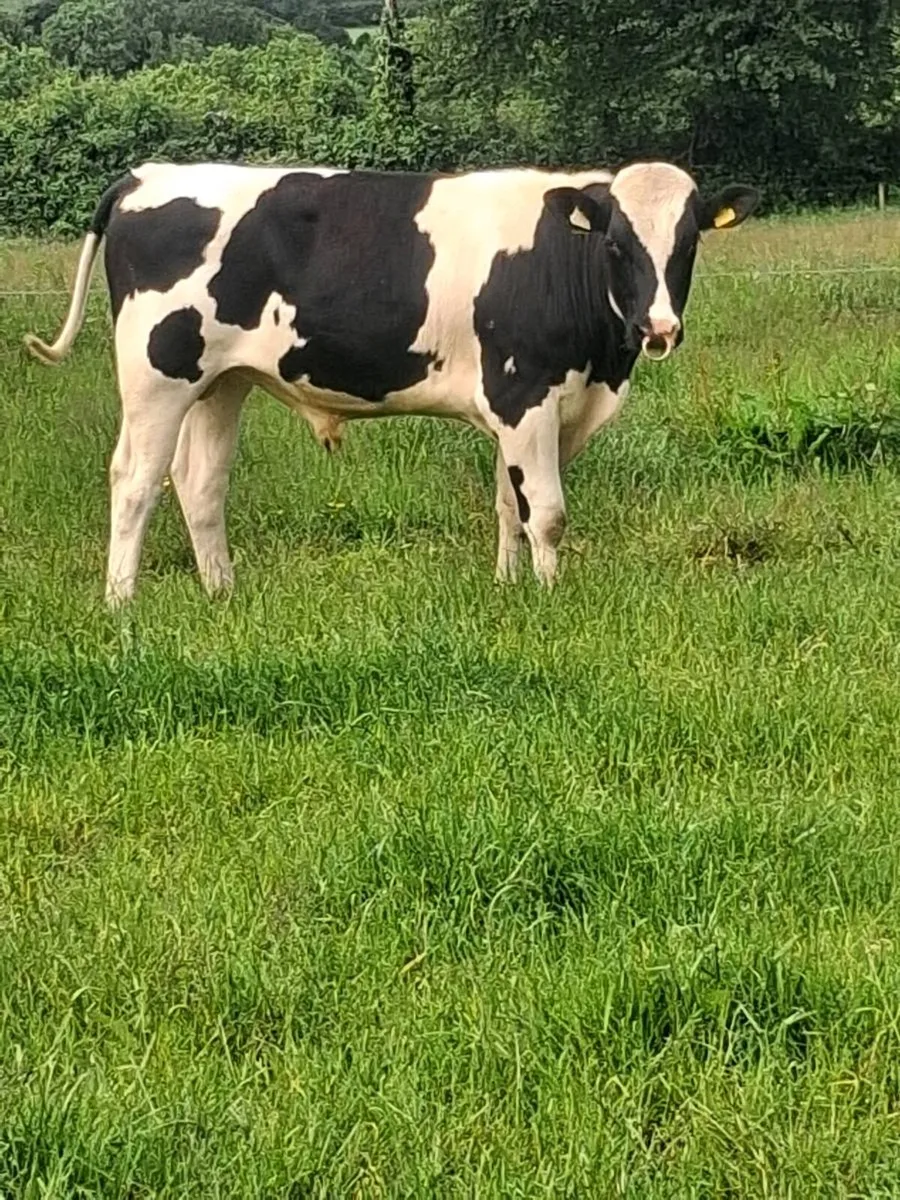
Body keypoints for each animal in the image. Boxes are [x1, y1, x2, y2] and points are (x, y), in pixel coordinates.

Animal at [25, 161, 759, 604]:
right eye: (615, 246)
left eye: (688, 244)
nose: (659, 326)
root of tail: (147, 175)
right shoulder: (524, 396)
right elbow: (546, 513)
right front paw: (550, 597)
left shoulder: (533, 409)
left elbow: (509, 505)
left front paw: (508, 589)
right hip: (157, 376)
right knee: (134, 480)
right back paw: (122, 604)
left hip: (220, 382)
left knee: (199, 482)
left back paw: (222, 593)